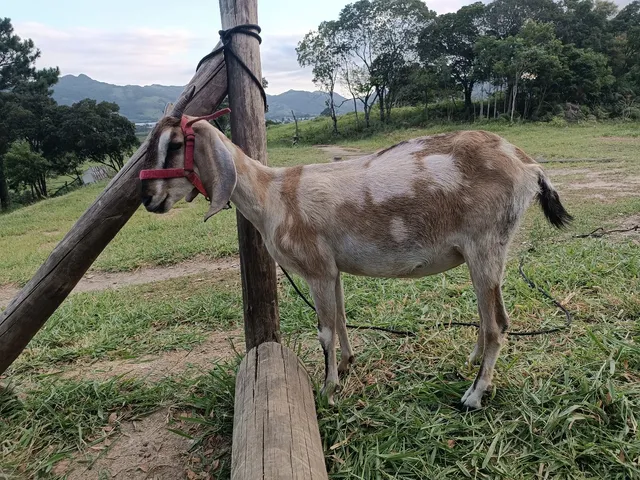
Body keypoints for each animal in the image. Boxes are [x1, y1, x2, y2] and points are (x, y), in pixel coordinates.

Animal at [140, 110, 572, 410]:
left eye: (174, 145)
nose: (149, 200)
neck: (272, 195)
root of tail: (528, 165)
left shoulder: (315, 267)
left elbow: (323, 331)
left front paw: (327, 390)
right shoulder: (332, 269)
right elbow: (341, 318)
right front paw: (347, 364)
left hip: (485, 245)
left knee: (498, 323)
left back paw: (474, 394)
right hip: (484, 252)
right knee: (490, 318)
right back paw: (473, 361)